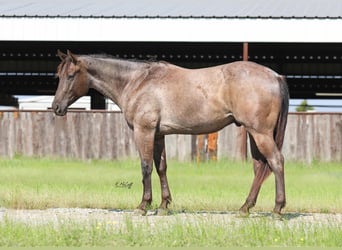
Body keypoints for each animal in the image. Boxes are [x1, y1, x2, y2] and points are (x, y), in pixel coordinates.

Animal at [52, 50, 288, 217]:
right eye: (59, 75)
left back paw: (277, 209)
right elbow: (161, 168)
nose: (56, 107)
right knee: (260, 167)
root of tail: (276, 75)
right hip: (254, 134)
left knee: (275, 161)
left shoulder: (144, 132)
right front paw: (164, 205)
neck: (138, 81)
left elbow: (146, 167)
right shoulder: (158, 135)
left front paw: (143, 205)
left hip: (260, 133)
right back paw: (245, 208)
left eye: (71, 76)